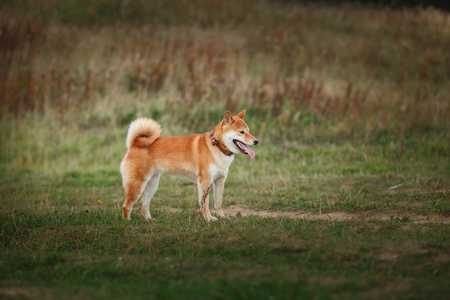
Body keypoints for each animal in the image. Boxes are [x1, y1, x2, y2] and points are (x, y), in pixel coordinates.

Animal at [121, 109, 258, 221]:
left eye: (249, 131)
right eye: (241, 132)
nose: (256, 141)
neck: (217, 146)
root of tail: (134, 143)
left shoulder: (220, 180)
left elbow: (218, 203)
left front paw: (222, 217)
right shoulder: (205, 181)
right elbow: (205, 204)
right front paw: (209, 219)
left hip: (152, 184)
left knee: (143, 203)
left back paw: (149, 220)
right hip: (137, 185)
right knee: (126, 206)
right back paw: (127, 222)